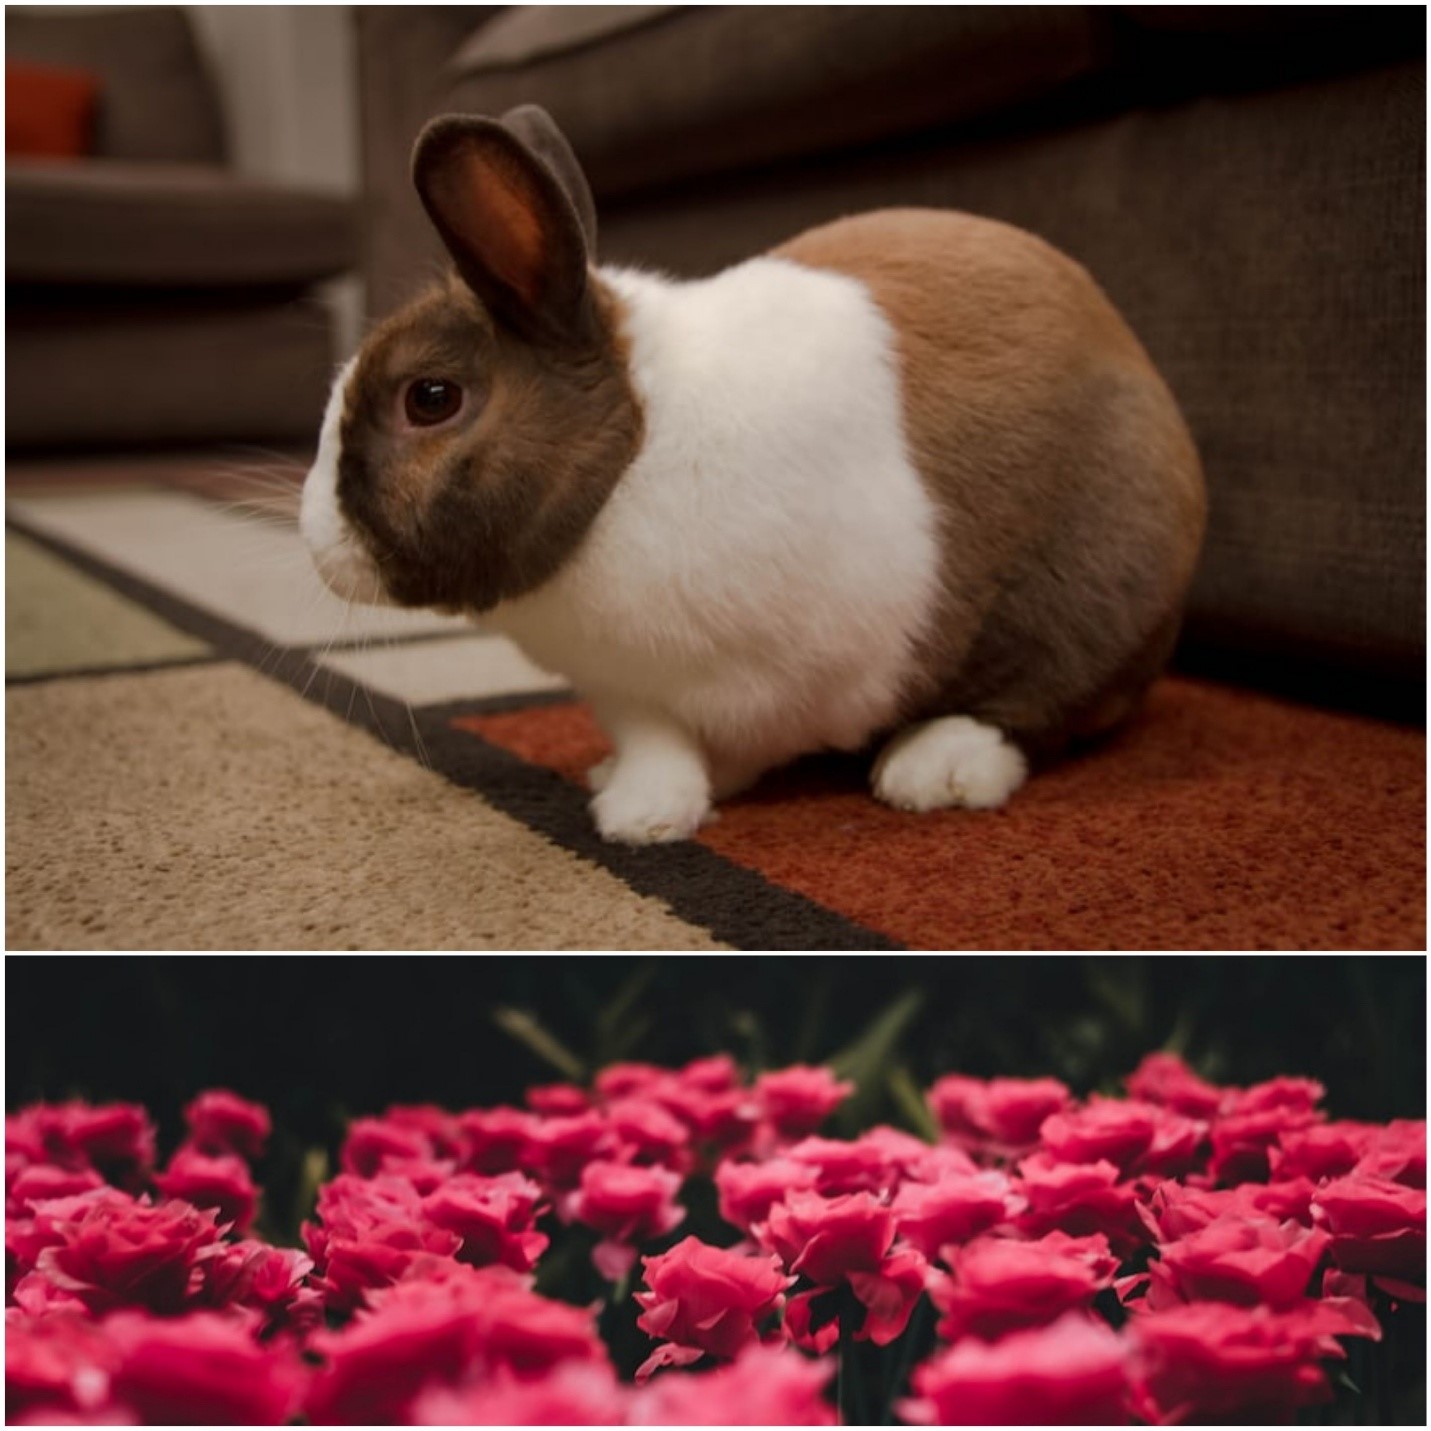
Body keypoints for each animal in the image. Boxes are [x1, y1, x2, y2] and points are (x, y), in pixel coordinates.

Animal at [301, 105, 1206, 846]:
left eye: (431, 398)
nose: (315, 543)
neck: (632, 455)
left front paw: (638, 820)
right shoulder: (631, 690)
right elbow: (656, 741)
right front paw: (635, 796)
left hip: (1092, 595)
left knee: (1042, 707)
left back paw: (933, 768)